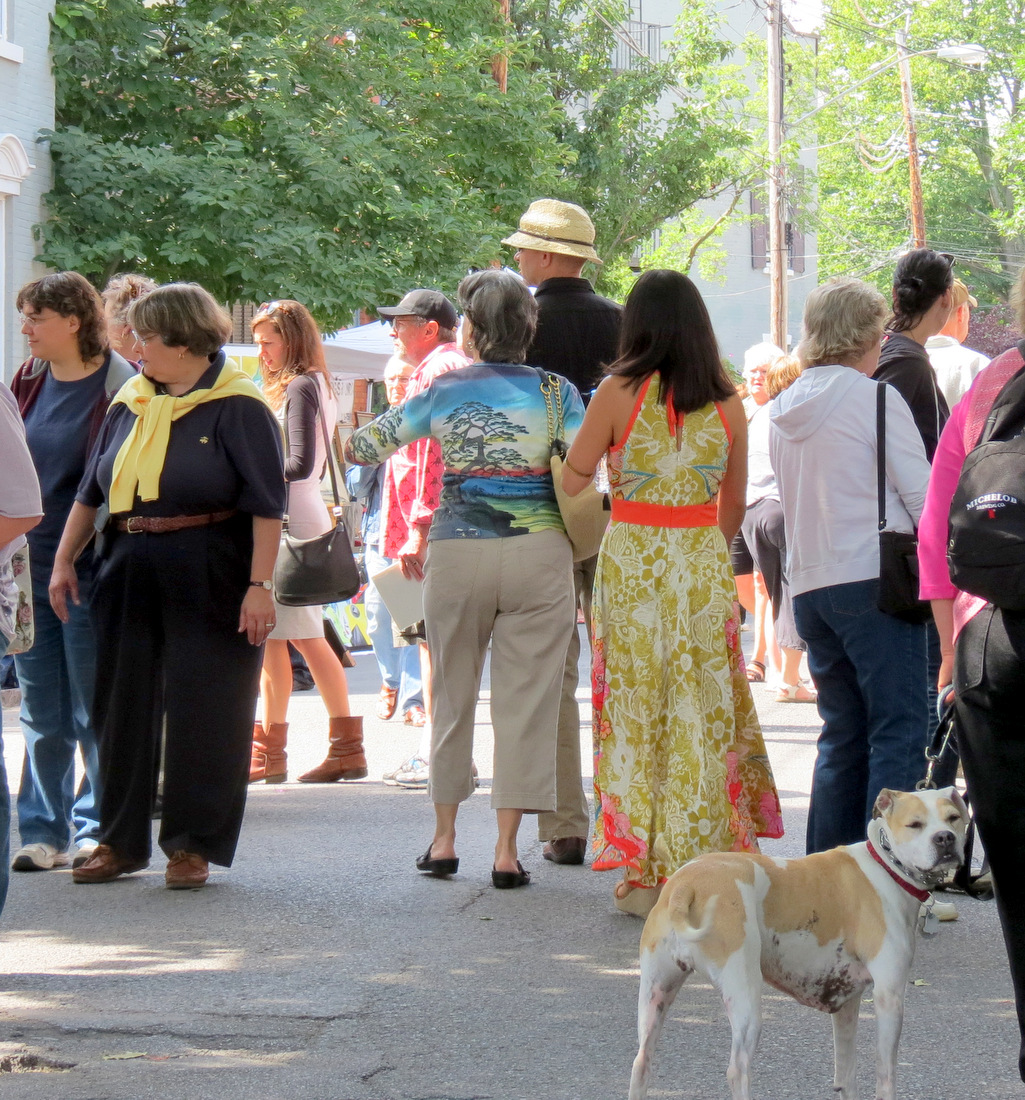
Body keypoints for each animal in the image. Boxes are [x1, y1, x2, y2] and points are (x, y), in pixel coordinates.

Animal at [627, 787, 969, 1100]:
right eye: (915, 824)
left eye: (954, 818)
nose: (945, 838)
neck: (887, 865)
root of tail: (685, 886)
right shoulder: (890, 997)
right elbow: (885, 1075)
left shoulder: (847, 1004)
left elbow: (847, 1072)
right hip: (745, 997)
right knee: (738, 1069)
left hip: (656, 995)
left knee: (641, 1061)